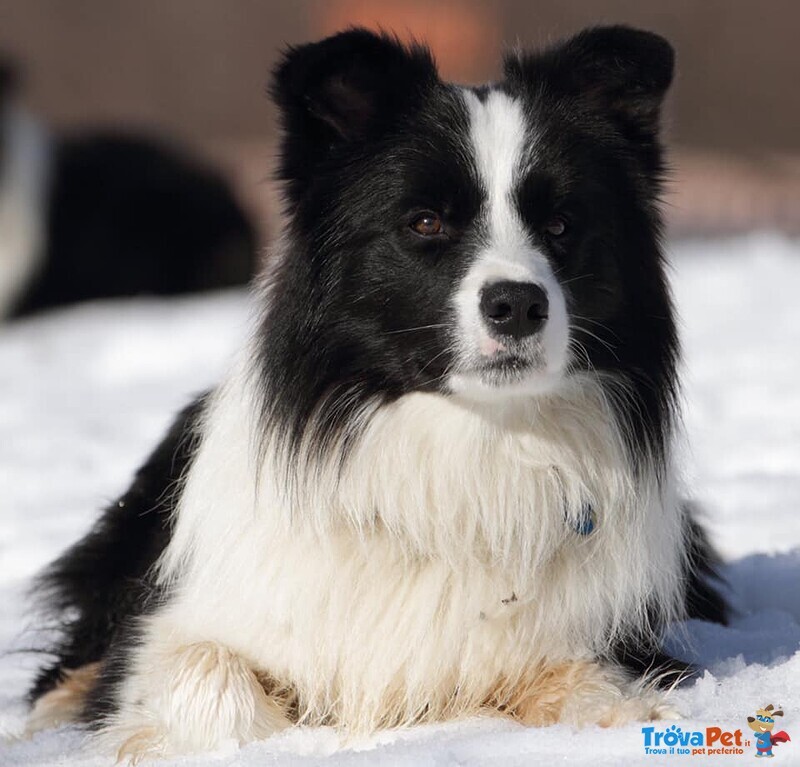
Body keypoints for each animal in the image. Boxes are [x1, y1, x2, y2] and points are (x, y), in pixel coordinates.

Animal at [26, 25, 724, 760]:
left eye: (561, 224)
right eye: (425, 222)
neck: (469, 445)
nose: (518, 304)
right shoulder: (173, 633)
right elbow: (212, 681)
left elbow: (592, 684)